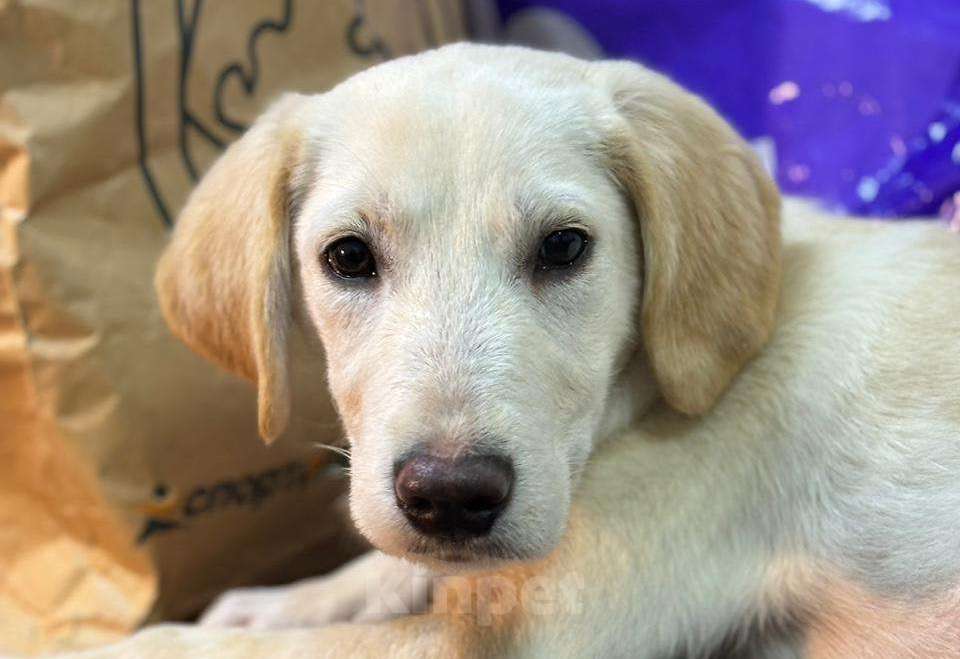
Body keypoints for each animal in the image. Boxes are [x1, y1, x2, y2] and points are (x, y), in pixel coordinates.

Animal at [75, 44, 960, 658]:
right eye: (349, 256)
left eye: (564, 247)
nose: (449, 495)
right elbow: (381, 569)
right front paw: (281, 598)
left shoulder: (519, 633)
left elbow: (207, 647)